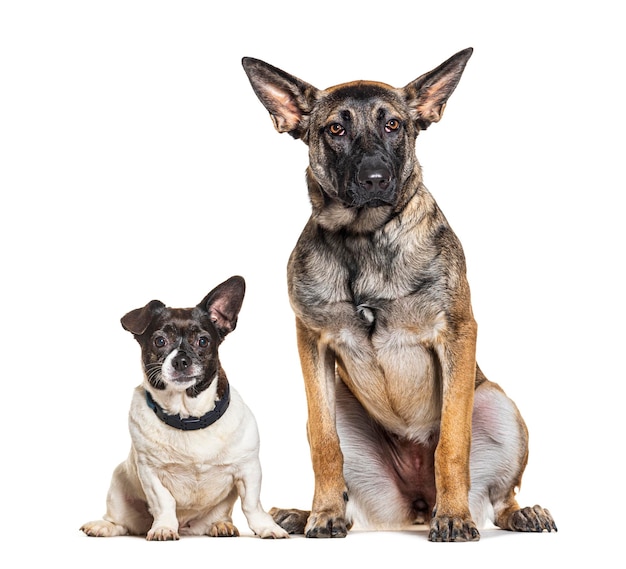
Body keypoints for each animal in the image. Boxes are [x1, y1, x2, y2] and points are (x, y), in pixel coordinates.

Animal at [80, 278, 288, 540]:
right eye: (160, 341)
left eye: (203, 341)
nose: (181, 360)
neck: (188, 416)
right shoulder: (150, 473)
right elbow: (164, 502)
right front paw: (163, 528)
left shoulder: (249, 469)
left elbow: (252, 504)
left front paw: (267, 527)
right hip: (118, 485)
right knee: (121, 522)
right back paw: (104, 526)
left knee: (219, 517)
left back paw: (220, 525)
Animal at [240, 50, 556, 540]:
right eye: (336, 129)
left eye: (393, 125)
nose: (375, 178)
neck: (364, 238)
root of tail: (418, 504)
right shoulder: (312, 343)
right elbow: (325, 443)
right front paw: (323, 513)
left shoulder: (457, 334)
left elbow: (452, 442)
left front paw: (454, 517)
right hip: (344, 406)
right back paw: (303, 512)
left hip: (497, 402)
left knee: (501, 498)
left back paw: (515, 513)